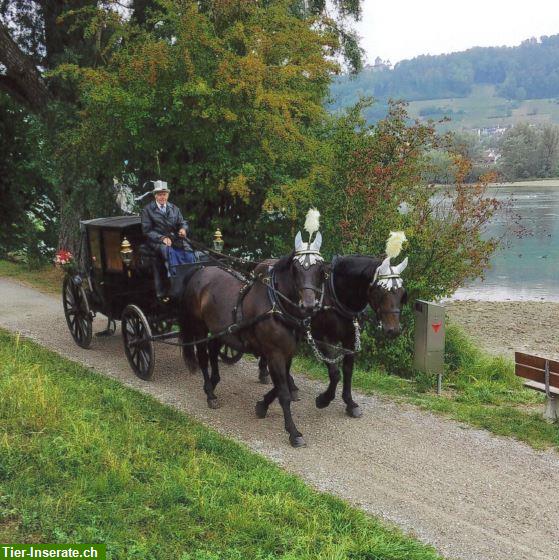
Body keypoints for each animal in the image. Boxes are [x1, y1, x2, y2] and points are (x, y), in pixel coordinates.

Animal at [179, 232, 326, 446]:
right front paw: (293, 432)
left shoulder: (287, 354)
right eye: (296, 268)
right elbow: (283, 393)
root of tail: (200, 271)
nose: (308, 306)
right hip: (199, 326)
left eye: (320, 269)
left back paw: (214, 382)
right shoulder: (274, 354)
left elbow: (280, 386)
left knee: (213, 351)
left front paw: (262, 406)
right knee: (203, 357)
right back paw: (210, 393)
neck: (276, 305)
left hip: (220, 330)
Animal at [258, 253, 406, 416]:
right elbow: (335, 373)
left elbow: (348, 370)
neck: (336, 296)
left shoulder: (350, 340)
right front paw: (324, 399)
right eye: (381, 290)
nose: (393, 329)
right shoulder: (321, 338)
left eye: (401, 293)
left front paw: (350, 403)